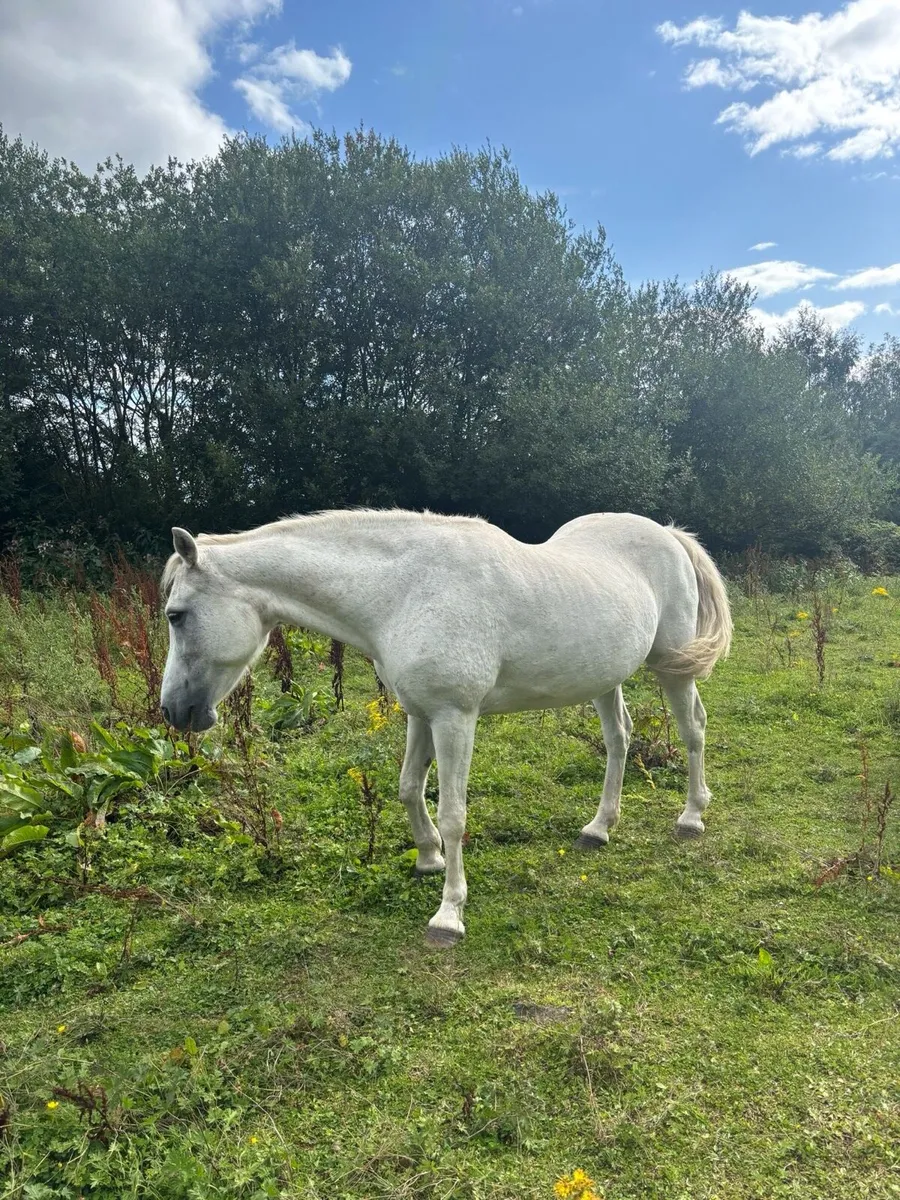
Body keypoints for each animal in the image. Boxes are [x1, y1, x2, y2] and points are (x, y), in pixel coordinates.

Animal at [160, 509, 732, 947]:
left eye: (176, 614)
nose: (173, 712)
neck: (405, 591)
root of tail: (669, 534)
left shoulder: (455, 718)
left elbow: (453, 813)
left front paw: (449, 914)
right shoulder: (421, 713)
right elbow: (409, 787)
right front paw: (428, 858)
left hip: (673, 668)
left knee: (693, 730)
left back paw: (691, 817)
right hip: (605, 678)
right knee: (619, 739)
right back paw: (599, 827)